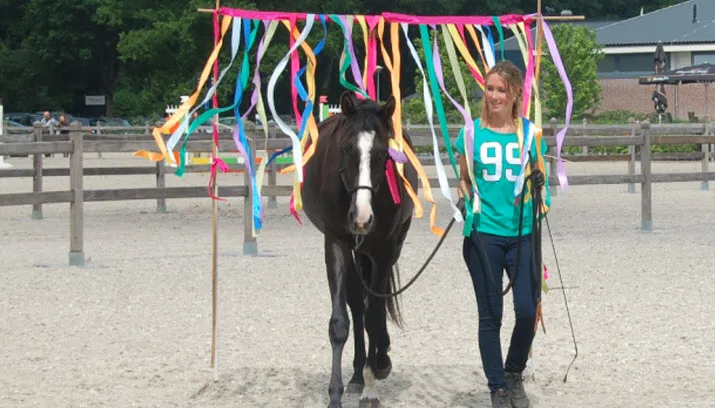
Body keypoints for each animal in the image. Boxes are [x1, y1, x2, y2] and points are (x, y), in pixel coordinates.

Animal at [301, 91, 419, 408]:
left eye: (383, 153)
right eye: (346, 148)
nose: (361, 218)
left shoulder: (384, 249)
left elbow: (375, 316)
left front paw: (373, 381)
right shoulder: (336, 244)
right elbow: (340, 321)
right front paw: (336, 393)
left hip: (390, 248)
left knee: (373, 305)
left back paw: (378, 362)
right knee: (356, 303)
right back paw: (356, 374)